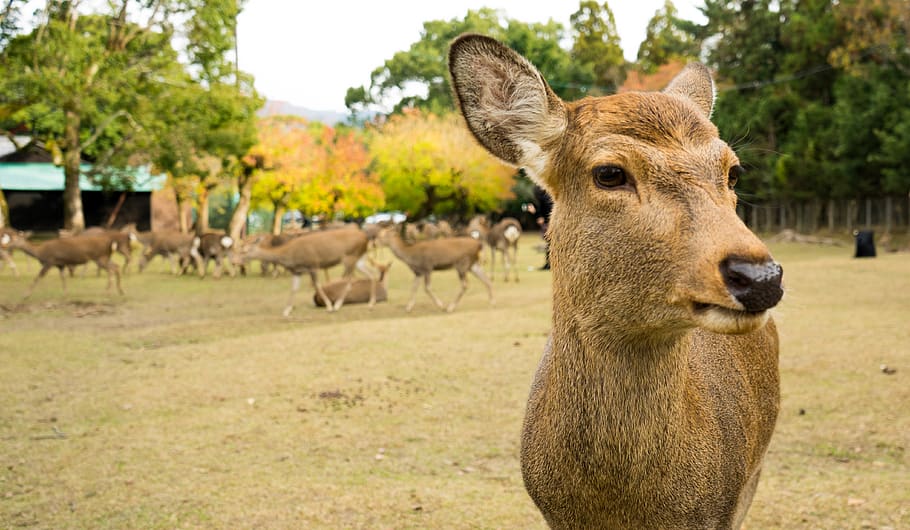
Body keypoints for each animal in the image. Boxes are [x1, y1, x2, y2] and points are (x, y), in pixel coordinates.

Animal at [238, 225, 375, 316]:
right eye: (242, 248)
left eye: (245, 251)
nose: (236, 260)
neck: (290, 257)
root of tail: (365, 238)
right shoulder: (297, 271)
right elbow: (294, 289)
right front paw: (286, 311)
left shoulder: (313, 264)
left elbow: (317, 285)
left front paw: (329, 307)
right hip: (359, 258)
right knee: (371, 274)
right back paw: (370, 304)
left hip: (350, 257)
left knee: (349, 281)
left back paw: (337, 305)